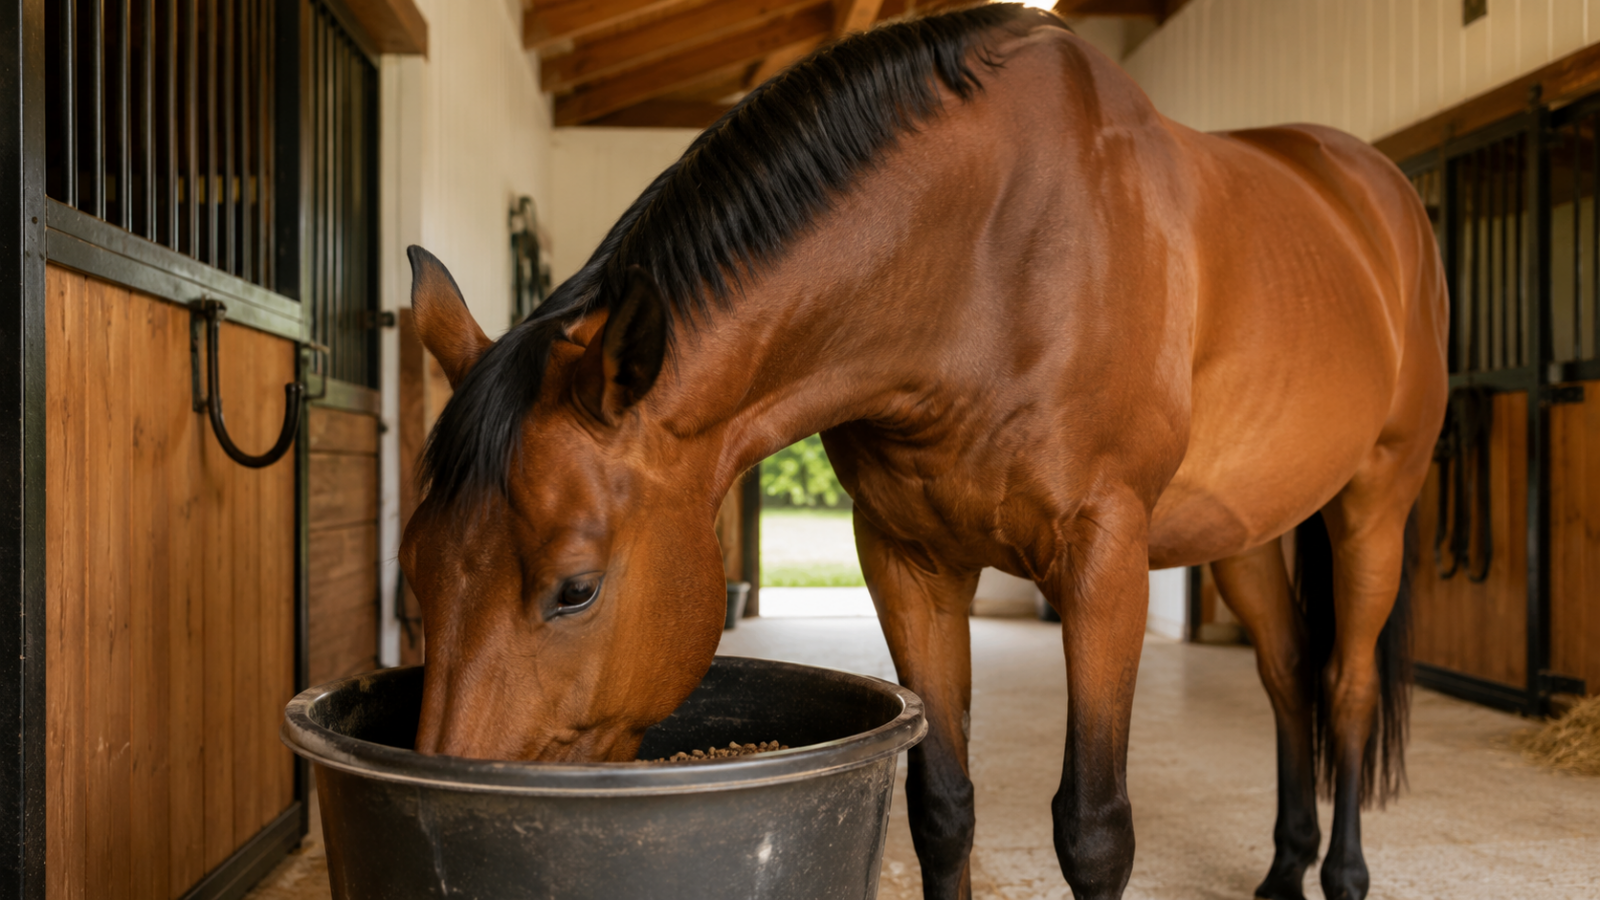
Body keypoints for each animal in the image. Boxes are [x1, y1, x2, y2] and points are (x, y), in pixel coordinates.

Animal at [397, 6, 1448, 899]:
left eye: (574, 590)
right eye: (413, 566)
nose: (447, 806)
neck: (989, 259)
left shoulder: (1105, 561)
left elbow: (1095, 831)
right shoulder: (909, 560)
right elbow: (942, 808)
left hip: (1375, 506)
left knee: (1347, 689)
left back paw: (1344, 876)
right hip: (1248, 535)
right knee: (1288, 679)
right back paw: (1283, 868)